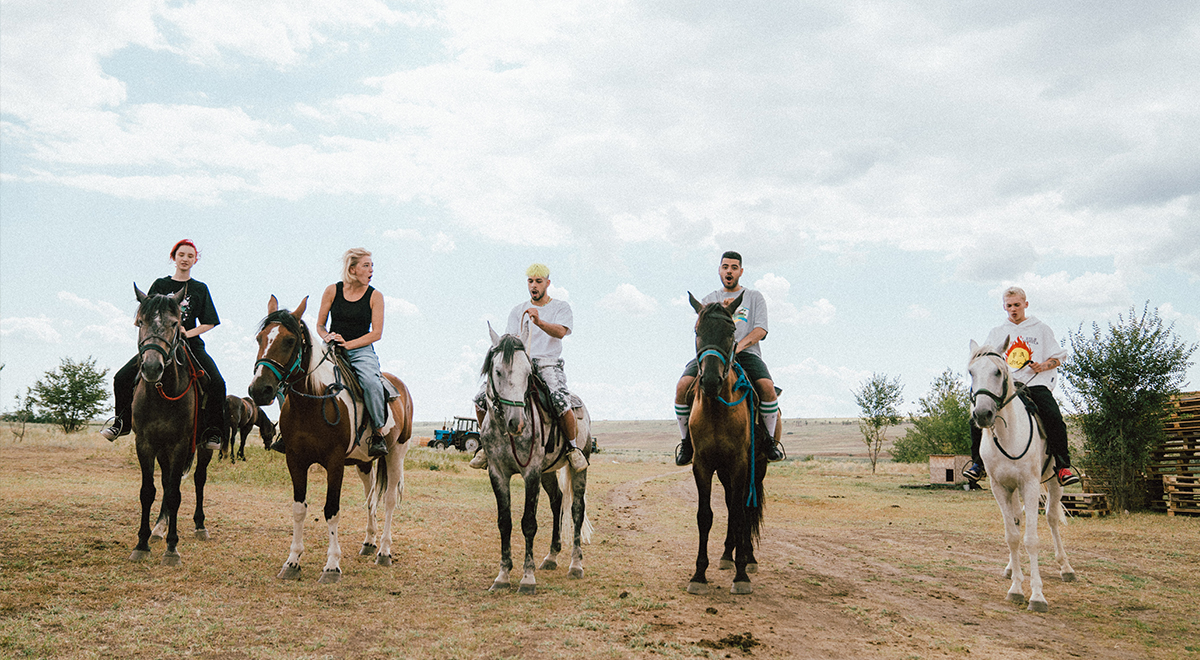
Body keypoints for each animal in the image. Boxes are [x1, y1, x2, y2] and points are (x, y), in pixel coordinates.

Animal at [248, 297, 412, 583]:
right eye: (260, 338)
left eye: (289, 340)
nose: (260, 390)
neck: (313, 401)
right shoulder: (296, 461)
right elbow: (299, 509)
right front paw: (292, 562)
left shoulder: (334, 464)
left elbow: (331, 510)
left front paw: (332, 566)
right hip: (364, 463)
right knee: (371, 496)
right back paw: (369, 543)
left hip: (396, 454)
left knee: (389, 500)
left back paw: (384, 551)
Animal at [477, 326, 590, 595]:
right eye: (498, 371)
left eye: (528, 374)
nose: (517, 423)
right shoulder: (498, 473)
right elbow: (504, 522)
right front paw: (502, 576)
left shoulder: (531, 473)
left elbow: (528, 522)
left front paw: (527, 579)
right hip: (547, 472)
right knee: (557, 502)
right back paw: (551, 557)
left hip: (578, 470)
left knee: (576, 509)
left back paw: (575, 565)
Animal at [686, 292, 768, 597]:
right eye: (697, 331)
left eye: (731, 330)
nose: (711, 380)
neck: (717, 410)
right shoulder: (702, 465)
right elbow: (705, 516)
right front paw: (699, 574)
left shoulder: (741, 465)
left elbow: (741, 514)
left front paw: (742, 575)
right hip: (724, 473)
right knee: (732, 506)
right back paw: (726, 555)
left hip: (756, 468)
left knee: (744, 508)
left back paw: (747, 559)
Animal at [964, 340, 1080, 614]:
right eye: (971, 372)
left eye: (998, 372)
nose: (982, 414)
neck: (1008, 435)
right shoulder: (999, 487)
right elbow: (1012, 536)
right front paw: (1016, 588)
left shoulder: (1030, 484)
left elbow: (1031, 540)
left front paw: (1037, 595)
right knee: (1018, 519)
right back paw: (1010, 569)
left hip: (1052, 483)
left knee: (1051, 519)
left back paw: (1066, 568)